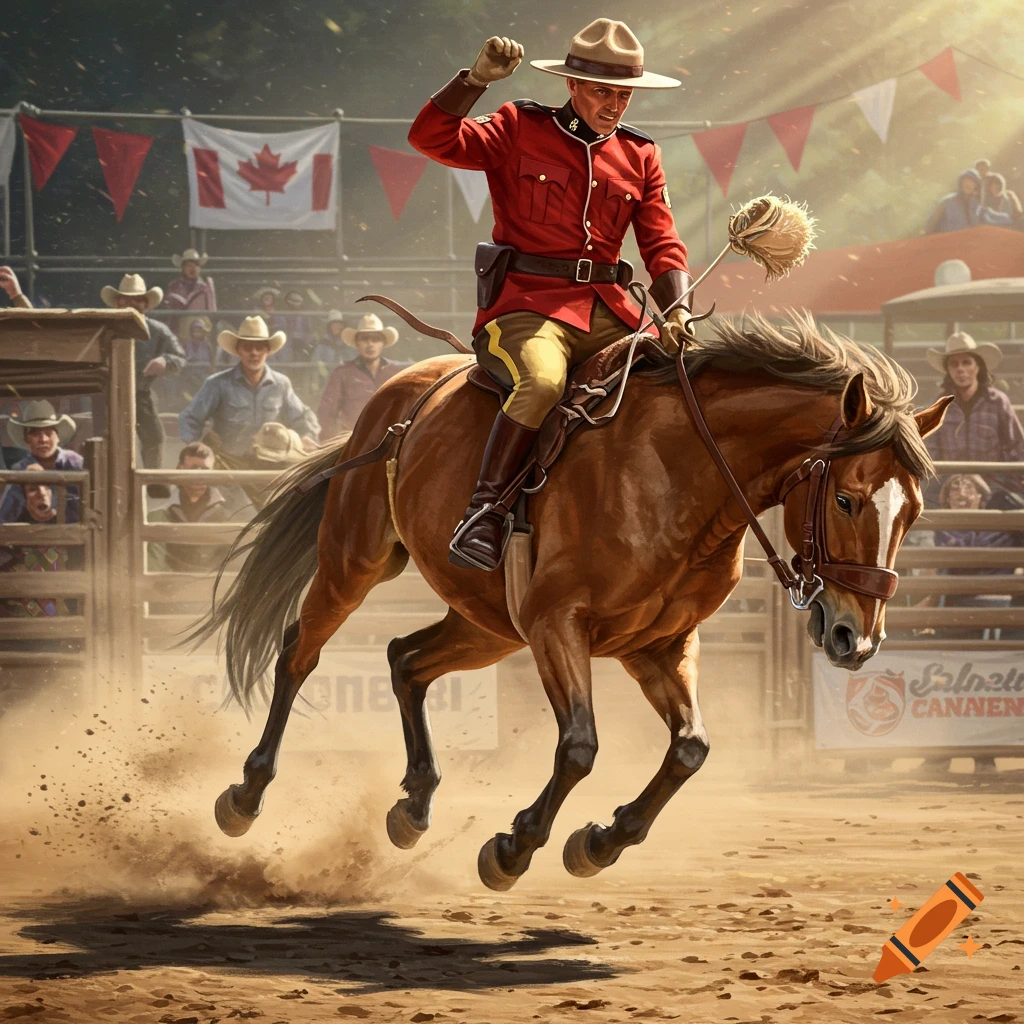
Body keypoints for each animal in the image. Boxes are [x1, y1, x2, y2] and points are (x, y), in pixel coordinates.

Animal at [192, 311, 950, 891]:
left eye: (912, 511)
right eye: (847, 498)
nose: (858, 637)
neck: (677, 470)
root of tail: (399, 393)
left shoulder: (660, 644)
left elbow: (690, 749)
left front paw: (601, 840)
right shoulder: (559, 625)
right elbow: (580, 747)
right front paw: (513, 847)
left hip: (489, 625)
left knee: (405, 659)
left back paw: (414, 805)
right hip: (356, 562)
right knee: (301, 650)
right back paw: (245, 794)